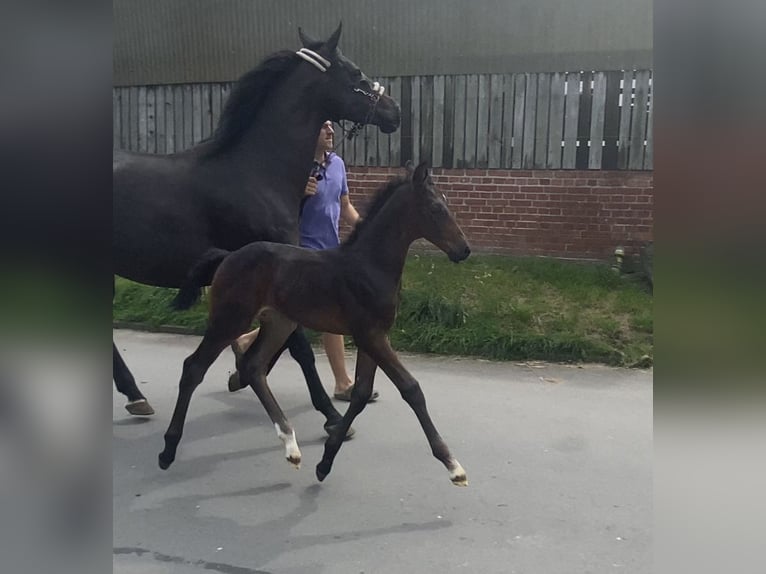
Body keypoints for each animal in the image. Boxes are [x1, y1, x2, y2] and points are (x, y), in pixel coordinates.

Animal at [115, 23, 402, 424]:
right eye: (355, 72)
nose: (395, 112)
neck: (256, 172)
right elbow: (299, 347)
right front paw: (329, 412)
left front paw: (242, 371)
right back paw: (135, 395)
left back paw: (137, 396)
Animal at [161, 162, 472, 486]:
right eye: (436, 208)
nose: (464, 249)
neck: (369, 265)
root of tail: (227, 256)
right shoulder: (372, 336)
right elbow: (410, 388)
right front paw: (453, 466)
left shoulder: (372, 336)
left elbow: (361, 394)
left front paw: (325, 462)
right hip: (229, 319)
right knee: (194, 367)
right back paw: (168, 450)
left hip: (279, 323)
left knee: (253, 366)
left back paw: (290, 445)